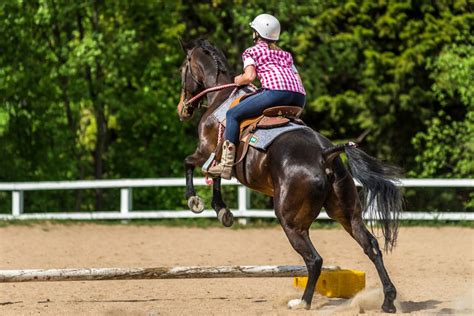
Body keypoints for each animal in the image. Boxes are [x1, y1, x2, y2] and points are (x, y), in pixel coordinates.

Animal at [176, 38, 402, 312]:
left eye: (182, 69)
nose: (182, 109)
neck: (220, 97)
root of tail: (325, 154)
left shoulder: (206, 149)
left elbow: (191, 164)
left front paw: (196, 201)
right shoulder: (214, 155)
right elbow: (216, 176)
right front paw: (223, 211)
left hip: (291, 221)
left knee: (314, 259)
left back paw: (302, 301)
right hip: (347, 213)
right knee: (371, 247)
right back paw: (388, 300)